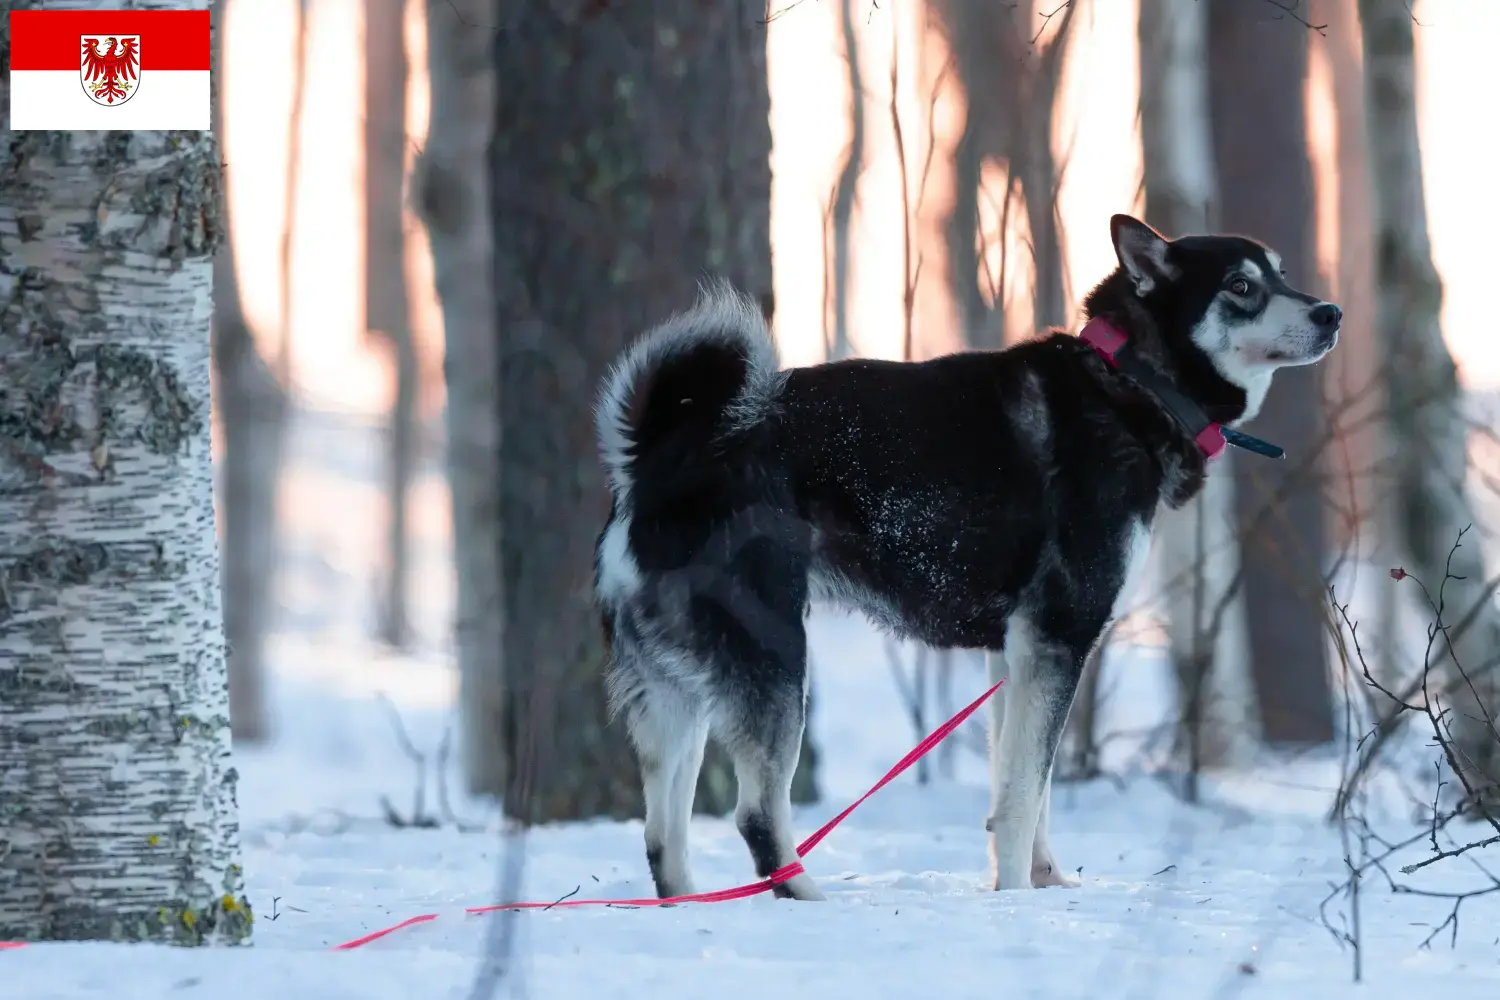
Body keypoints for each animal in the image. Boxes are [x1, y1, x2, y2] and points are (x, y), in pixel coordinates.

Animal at [591, 217, 1344, 899]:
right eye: (1242, 286)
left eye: (1279, 272)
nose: (1331, 311)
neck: (1132, 380)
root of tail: (664, 460)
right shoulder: (1058, 639)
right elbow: (1020, 798)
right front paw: (1015, 900)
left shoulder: (1015, 657)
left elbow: (1026, 789)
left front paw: (1040, 883)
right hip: (774, 659)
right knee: (756, 818)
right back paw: (815, 903)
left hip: (678, 693)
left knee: (663, 837)